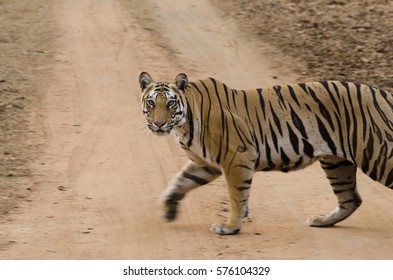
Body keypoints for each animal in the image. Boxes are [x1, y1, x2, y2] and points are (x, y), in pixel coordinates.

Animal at [137, 71, 392, 234]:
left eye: (170, 103)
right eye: (151, 103)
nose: (159, 124)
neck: (183, 124)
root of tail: (385, 93)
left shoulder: (236, 158)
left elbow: (236, 196)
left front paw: (230, 227)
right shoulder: (205, 164)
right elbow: (179, 182)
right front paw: (168, 209)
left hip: (377, 155)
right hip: (336, 162)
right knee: (350, 199)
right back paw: (321, 221)